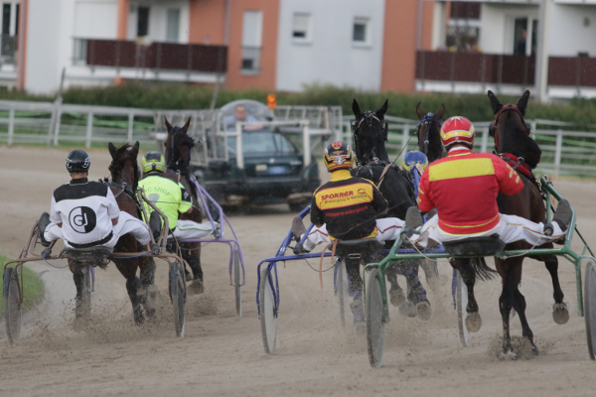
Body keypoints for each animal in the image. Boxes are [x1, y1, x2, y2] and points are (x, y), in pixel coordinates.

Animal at [106, 141, 156, 324]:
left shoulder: (120, 257)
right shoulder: (141, 250)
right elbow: (146, 276)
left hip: (119, 256)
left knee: (130, 283)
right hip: (131, 251)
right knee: (133, 283)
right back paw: (141, 315)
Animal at [486, 90, 564, 358]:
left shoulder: (506, 257)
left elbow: (514, 296)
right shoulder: (535, 239)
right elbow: (552, 262)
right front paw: (559, 304)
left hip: (505, 257)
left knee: (507, 299)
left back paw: (511, 344)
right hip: (519, 250)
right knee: (509, 296)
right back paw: (517, 344)